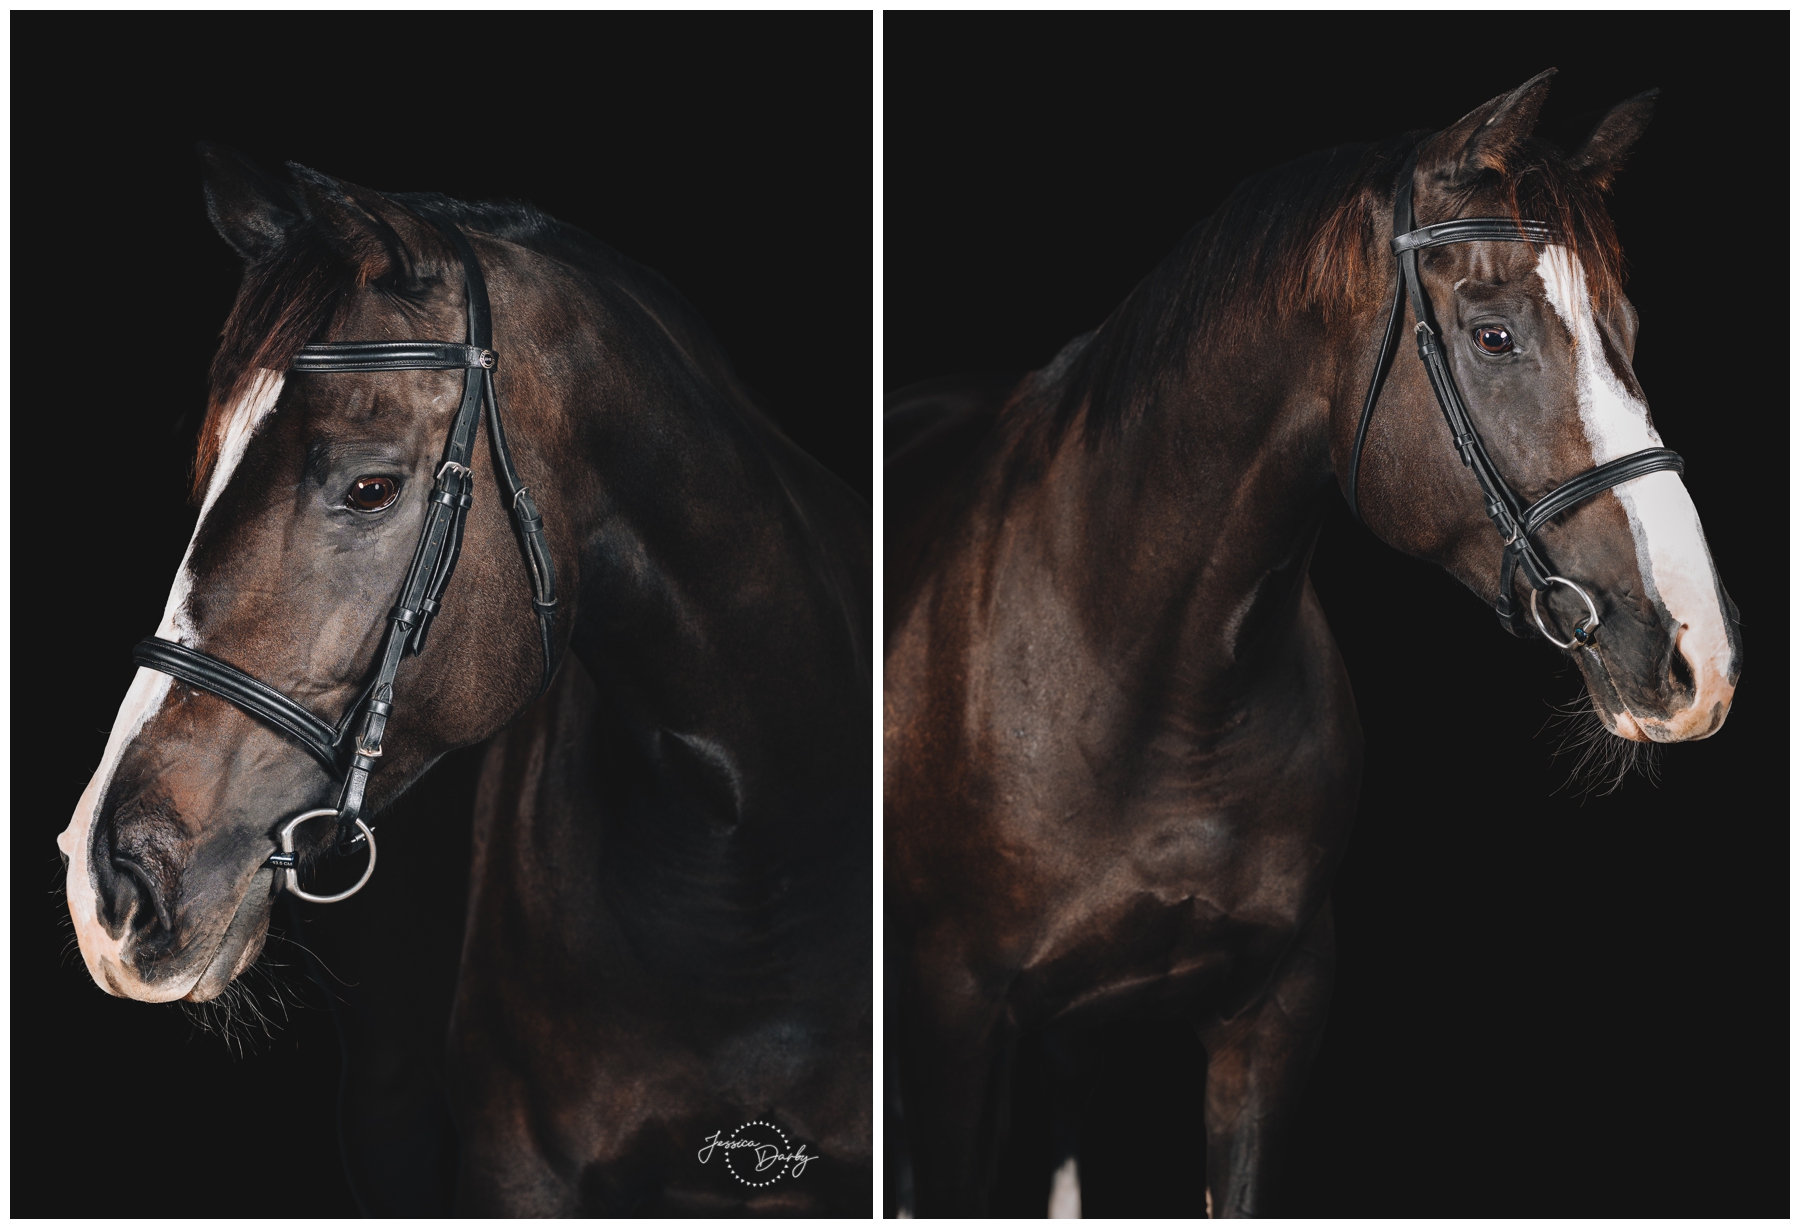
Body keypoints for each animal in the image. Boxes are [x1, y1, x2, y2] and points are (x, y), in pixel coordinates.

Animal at [884, 71, 1741, 1217]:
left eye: (1629, 329)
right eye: (1494, 336)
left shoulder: (1273, 1016)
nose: (1699, 656)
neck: (1154, 683)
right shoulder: (955, 1022)